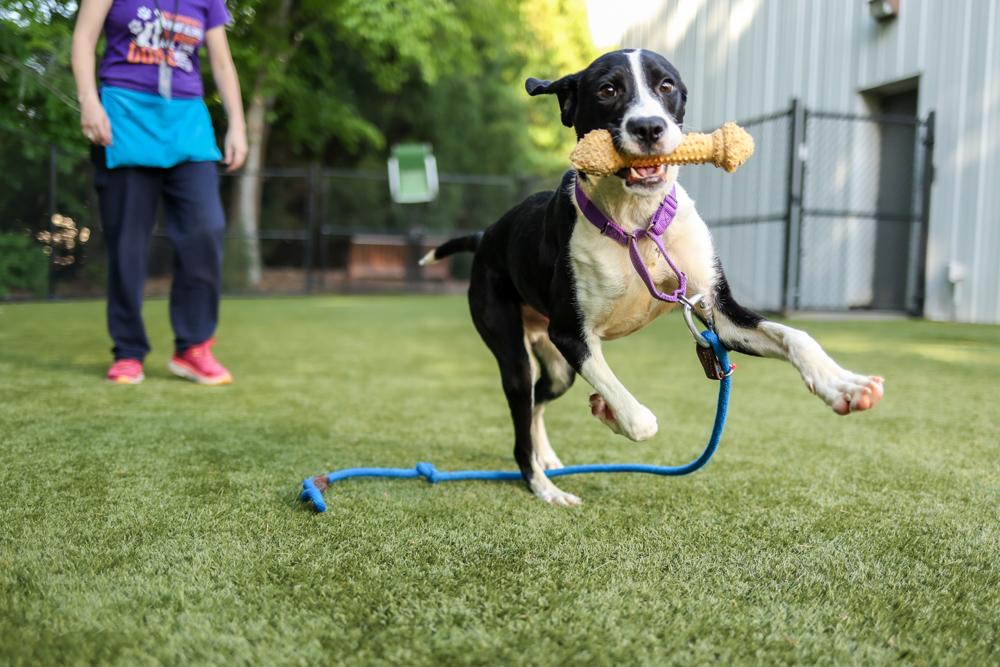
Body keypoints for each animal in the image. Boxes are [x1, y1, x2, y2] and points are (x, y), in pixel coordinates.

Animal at [420, 48, 884, 506]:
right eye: (607, 90)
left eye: (666, 86)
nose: (648, 127)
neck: (636, 224)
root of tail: (485, 236)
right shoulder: (570, 334)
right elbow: (641, 420)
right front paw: (609, 411)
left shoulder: (720, 313)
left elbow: (797, 337)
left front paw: (844, 385)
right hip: (513, 346)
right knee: (522, 416)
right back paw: (545, 487)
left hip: (558, 369)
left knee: (538, 400)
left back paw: (546, 457)